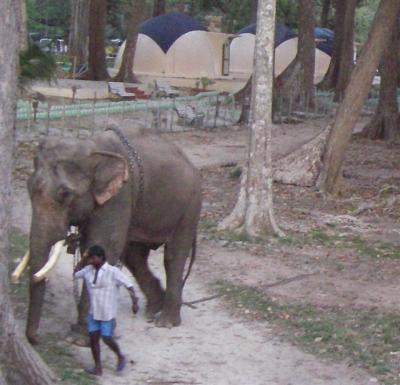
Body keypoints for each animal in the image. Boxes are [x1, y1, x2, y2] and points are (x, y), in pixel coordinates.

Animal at [23, 125, 202, 342]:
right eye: (28, 188)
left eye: (65, 194)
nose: (35, 339)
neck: (91, 148)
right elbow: (92, 250)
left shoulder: (119, 196)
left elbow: (103, 247)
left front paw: (80, 339)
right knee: (134, 255)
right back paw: (153, 309)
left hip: (190, 207)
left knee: (173, 256)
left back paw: (166, 321)